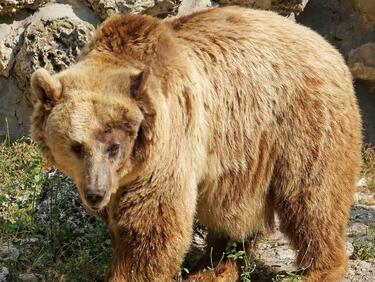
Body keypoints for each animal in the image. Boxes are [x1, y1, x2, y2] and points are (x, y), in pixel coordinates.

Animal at [30, 6, 362, 282]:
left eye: (114, 146)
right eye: (76, 146)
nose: (95, 193)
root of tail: (326, 46)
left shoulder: (170, 141)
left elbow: (151, 221)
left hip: (301, 121)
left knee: (313, 197)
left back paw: (317, 269)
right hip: (244, 153)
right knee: (234, 214)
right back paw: (214, 268)